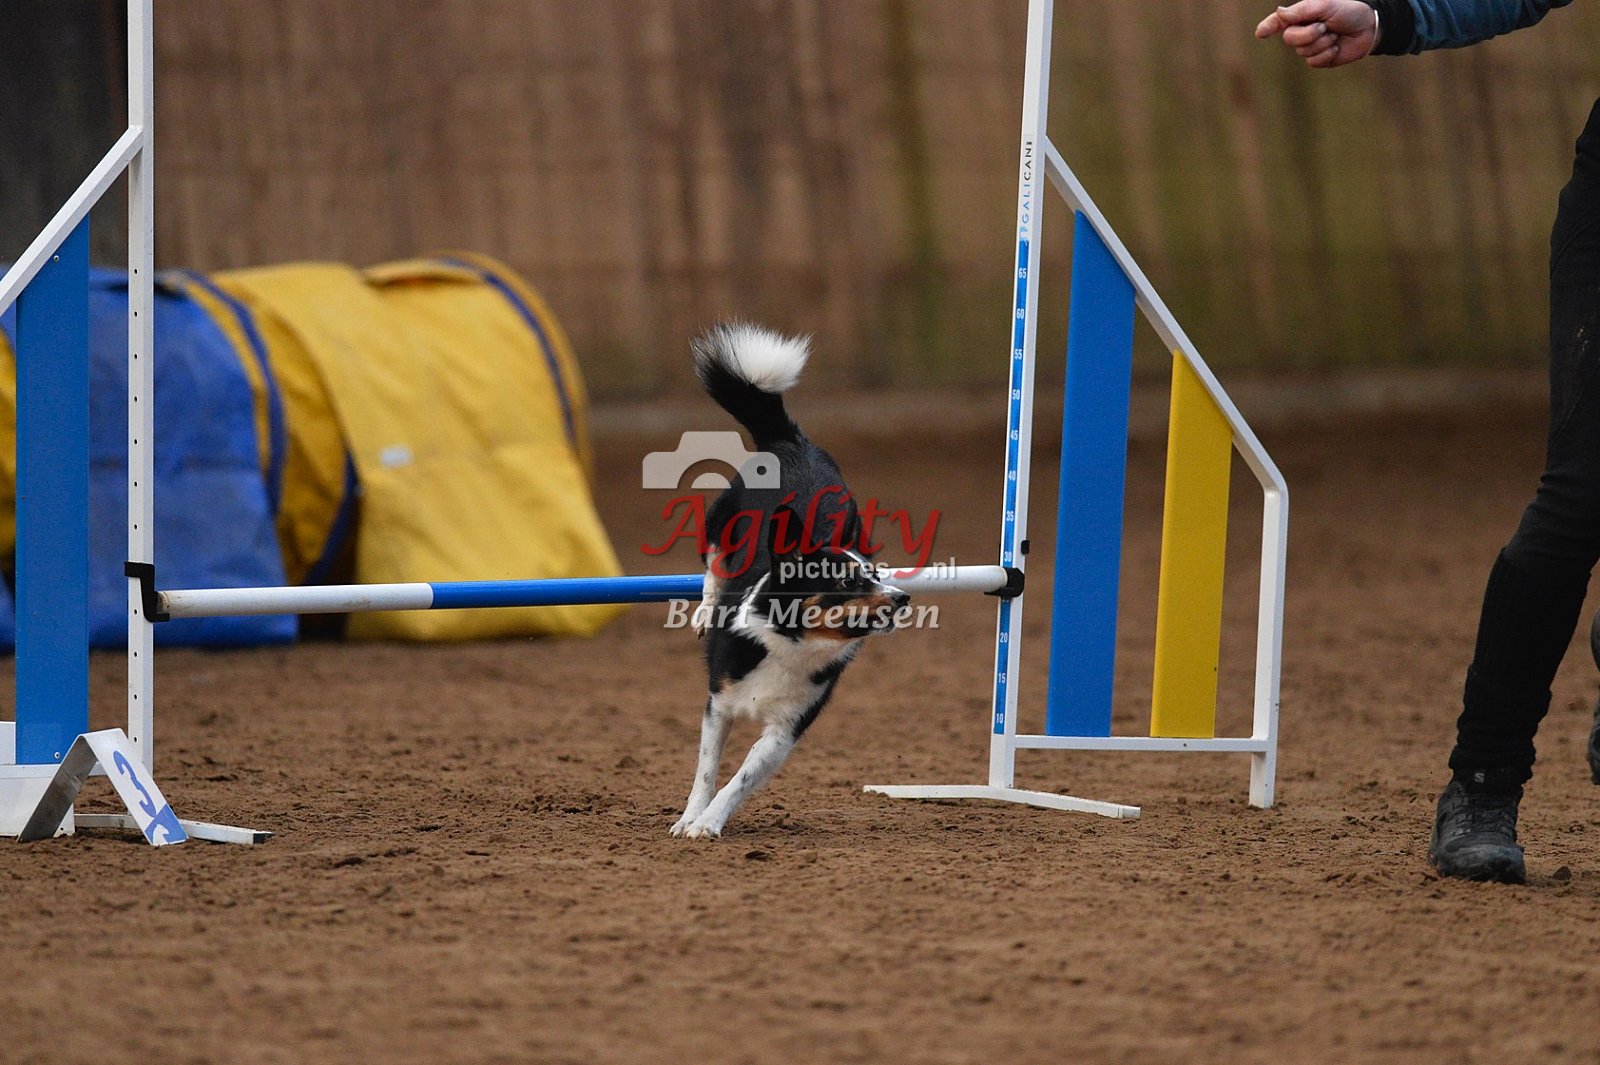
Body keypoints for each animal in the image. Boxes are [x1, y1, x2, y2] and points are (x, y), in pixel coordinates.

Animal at [670, 322, 910, 840]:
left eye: (876, 574)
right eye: (847, 583)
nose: (903, 597)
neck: (790, 641)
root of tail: (790, 440)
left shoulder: (786, 730)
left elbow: (738, 779)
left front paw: (709, 822)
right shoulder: (718, 704)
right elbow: (706, 770)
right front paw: (690, 818)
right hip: (720, 522)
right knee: (712, 567)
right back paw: (704, 610)